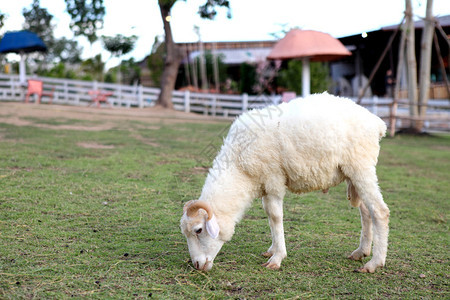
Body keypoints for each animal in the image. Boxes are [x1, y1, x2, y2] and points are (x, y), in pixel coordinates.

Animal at [178, 92, 386, 274]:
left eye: (198, 230)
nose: (197, 265)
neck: (239, 163)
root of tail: (376, 122)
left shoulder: (273, 180)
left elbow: (276, 216)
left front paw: (277, 258)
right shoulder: (264, 185)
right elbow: (269, 217)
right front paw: (272, 250)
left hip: (361, 167)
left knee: (379, 211)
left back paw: (374, 263)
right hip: (354, 174)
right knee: (366, 211)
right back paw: (361, 252)